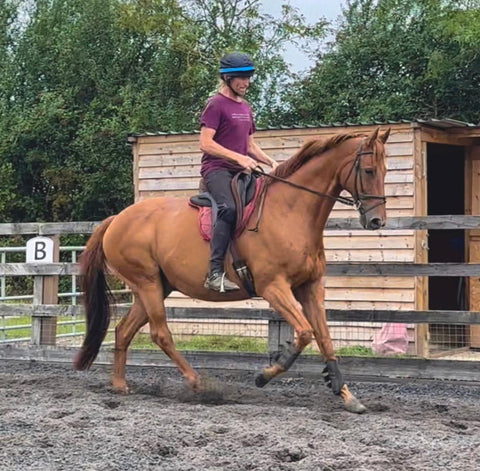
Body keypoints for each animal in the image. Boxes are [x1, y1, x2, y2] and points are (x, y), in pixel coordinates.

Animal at [75, 128, 390, 412]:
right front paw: (264, 375)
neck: (290, 212)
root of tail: (116, 219)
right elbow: (304, 333)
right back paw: (199, 383)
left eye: (385, 171)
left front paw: (346, 394)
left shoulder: (310, 287)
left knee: (124, 331)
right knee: (160, 334)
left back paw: (119, 385)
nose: (377, 221)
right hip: (147, 282)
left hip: (154, 287)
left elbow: (324, 338)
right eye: (369, 170)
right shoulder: (273, 287)